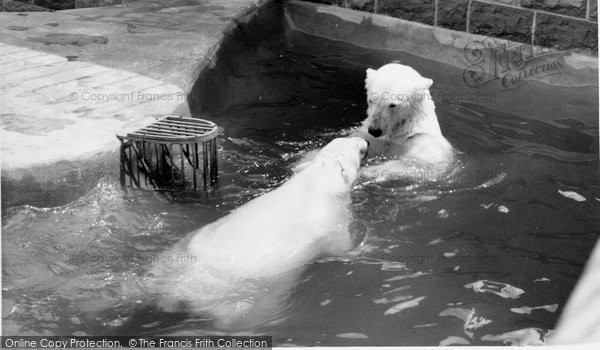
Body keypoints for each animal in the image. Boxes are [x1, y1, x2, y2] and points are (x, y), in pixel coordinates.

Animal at [148, 137, 368, 328]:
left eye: (346, 139)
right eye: (359, 150)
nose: (365, 140)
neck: (316, 181)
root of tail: (177, 289)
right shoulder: (332, 222)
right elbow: (341, 246)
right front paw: (360, 247)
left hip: (176, 254)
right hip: (245, 299)